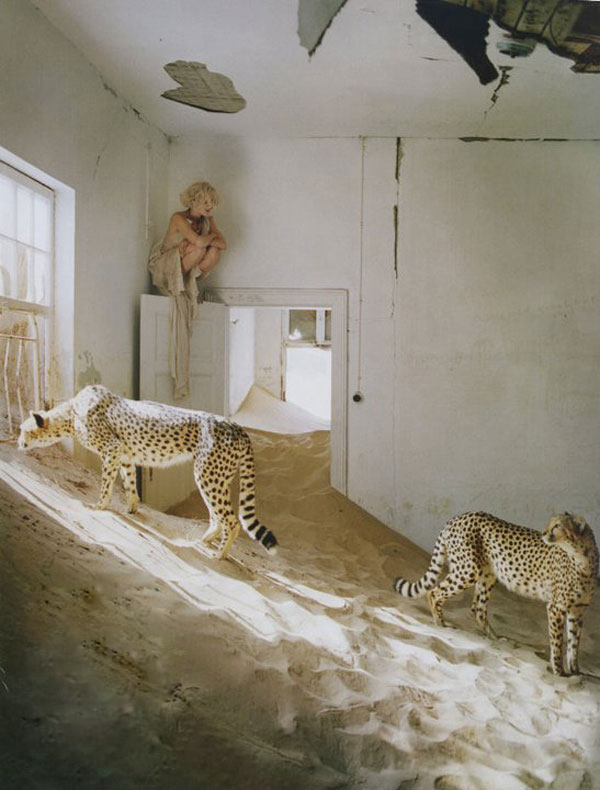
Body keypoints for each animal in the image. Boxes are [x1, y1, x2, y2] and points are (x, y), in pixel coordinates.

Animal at [18, 384, 277, 560]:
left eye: (24, 430)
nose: (19, 443)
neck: (71, 413)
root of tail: (237, 426)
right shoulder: (124, 455)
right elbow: (130, 483)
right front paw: (132, 508)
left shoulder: (111, 448)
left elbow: (106, 483)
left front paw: (98, 506)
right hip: (216, 478)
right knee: (217, 516)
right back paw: (203, 541)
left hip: (208, 476)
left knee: (231, 520)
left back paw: (219, 555)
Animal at [393, 511, 598, 675]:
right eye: (550, 524)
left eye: (557, 526)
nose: (544, 534)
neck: (582, 560)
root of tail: (459, 516)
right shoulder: (556, 607)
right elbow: (558, 642)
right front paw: (558, 671)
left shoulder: (577, 610)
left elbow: (574, 643)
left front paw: (575, 671)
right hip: (468, 570)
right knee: (434, 592)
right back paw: (440, 624)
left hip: (487, 575)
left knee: (477, 608)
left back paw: (495, 638)